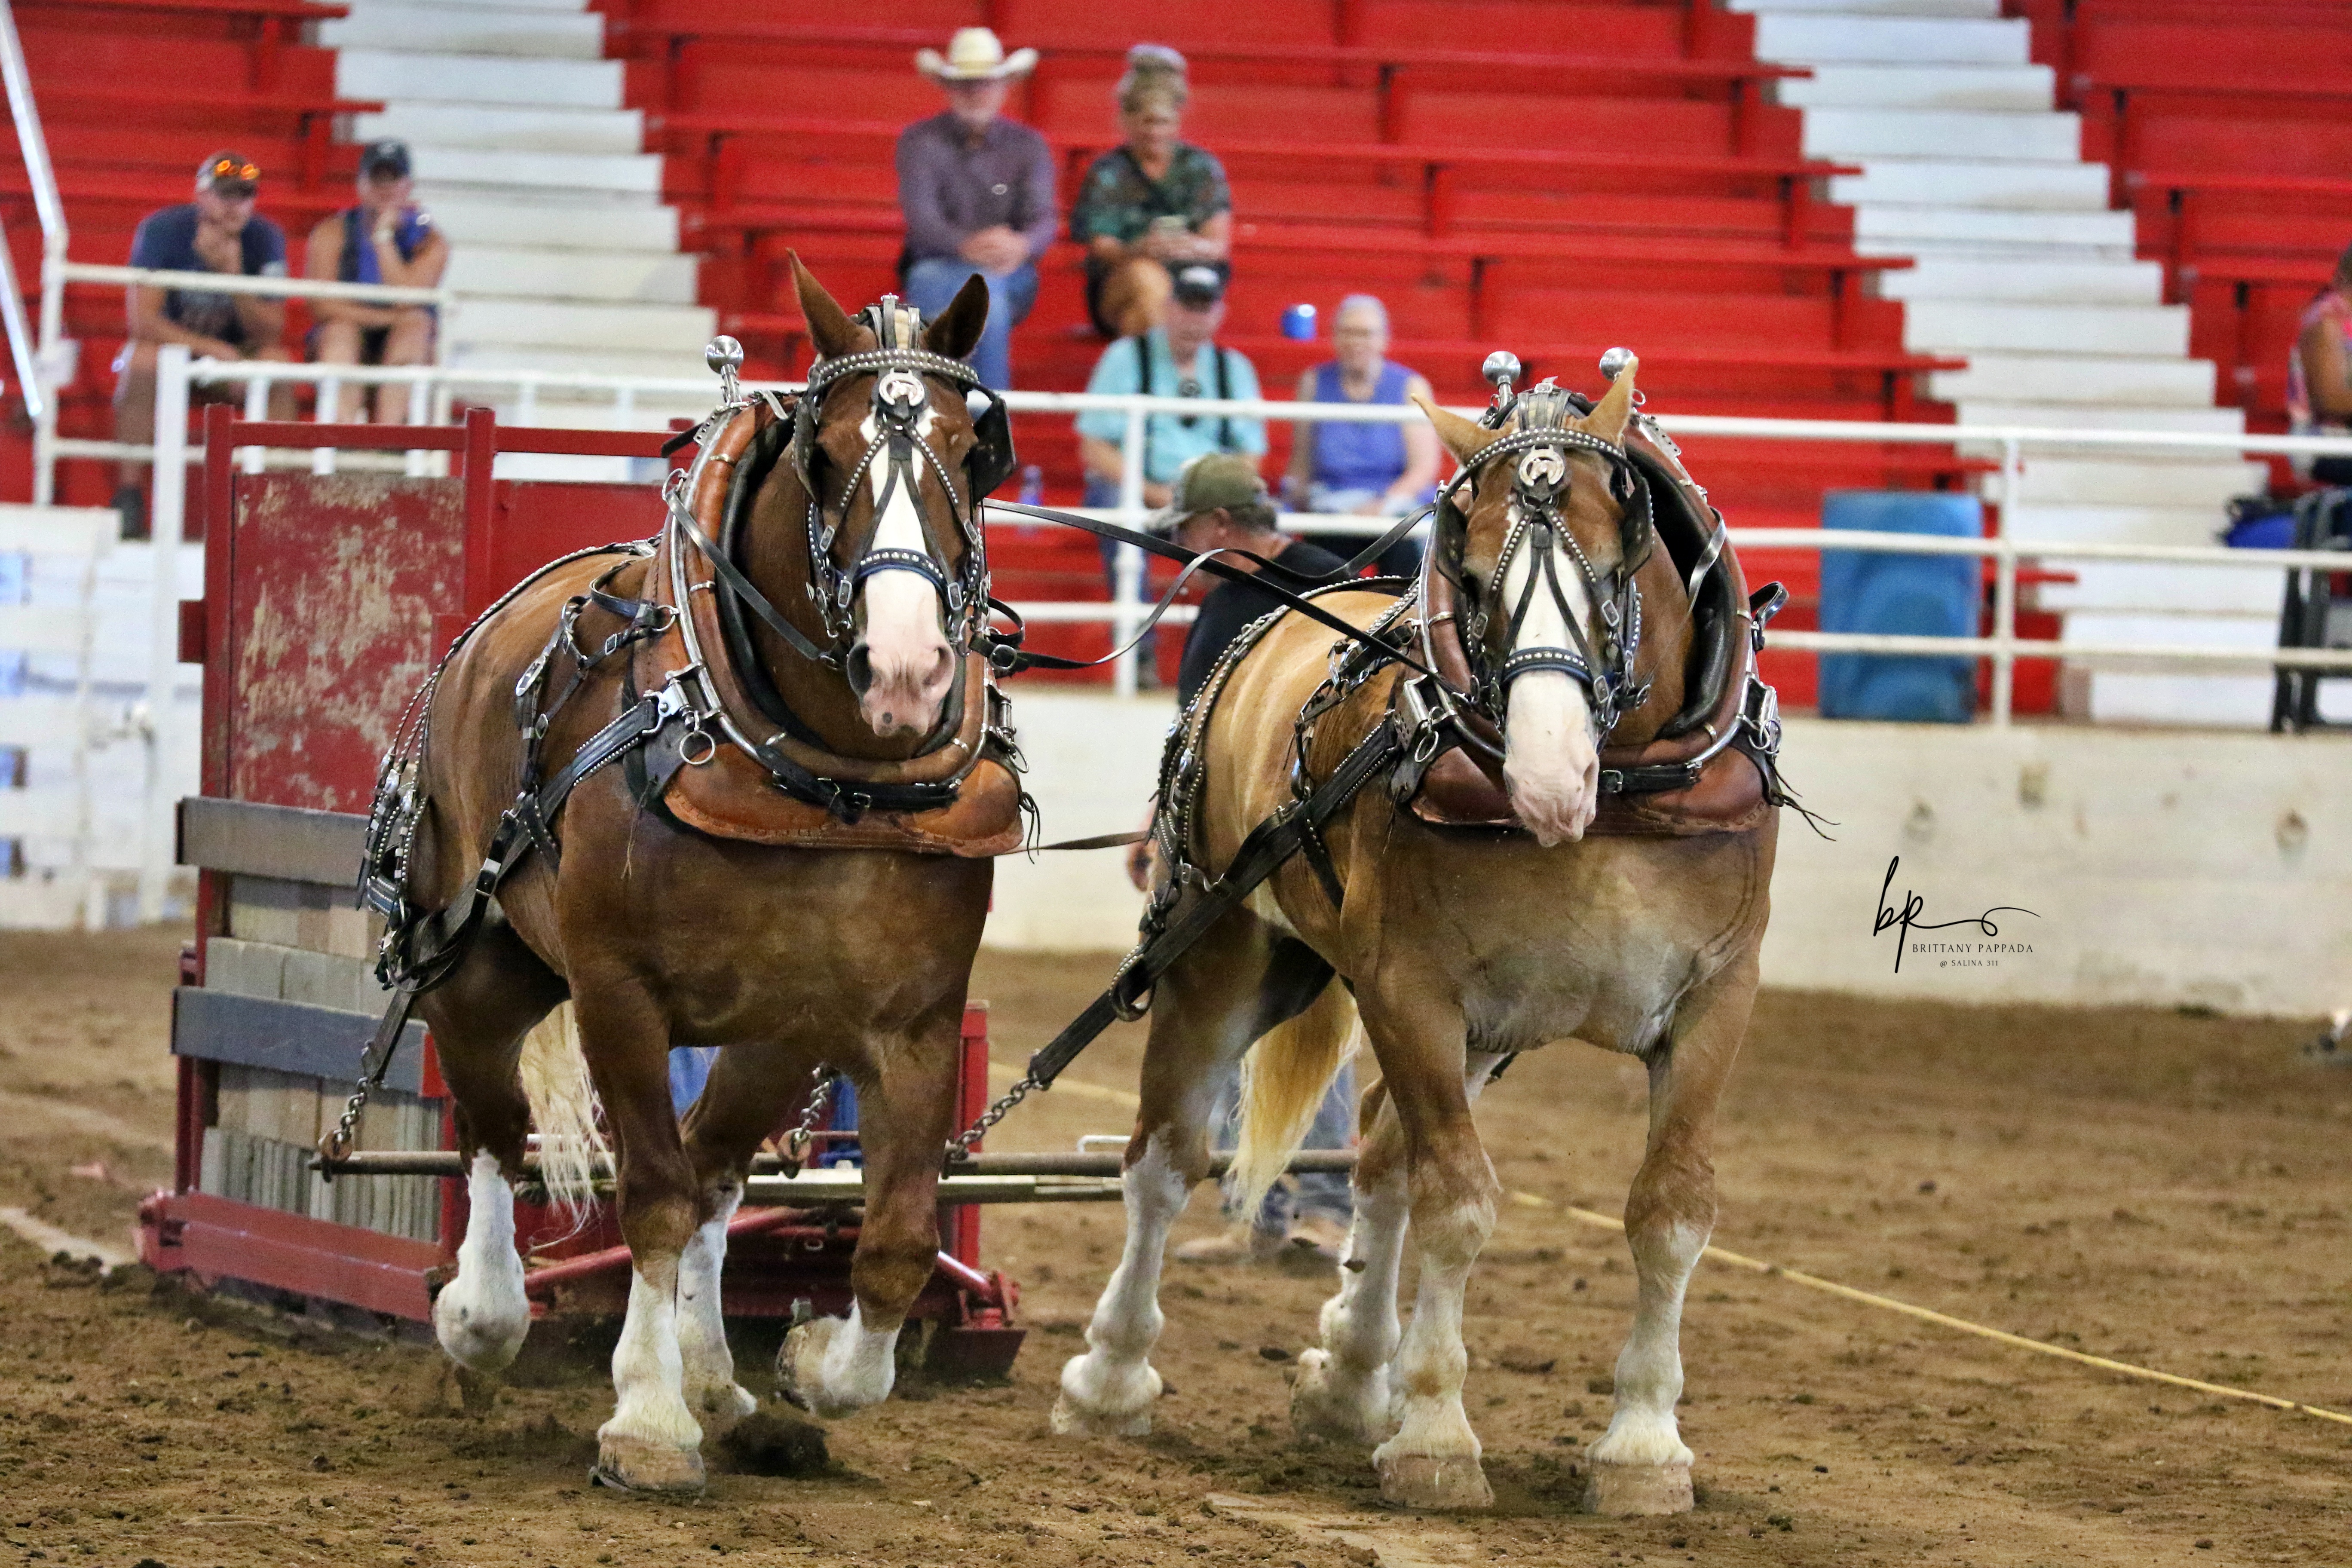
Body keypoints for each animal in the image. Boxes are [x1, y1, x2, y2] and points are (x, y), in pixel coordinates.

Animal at [363, 258, 1023, 1494]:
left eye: (972, 450)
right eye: (826, 454)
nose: (908, 668)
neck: (827, 782)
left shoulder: (905, 1021)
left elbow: (896, 1238)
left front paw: (806, 1365)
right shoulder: (621, 994)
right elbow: (652, 1199)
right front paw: (648, 1422)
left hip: (775, 1031)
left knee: (722, 1168)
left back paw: (722, 1379)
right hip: (477, 960)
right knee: (494, 1127)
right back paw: (483, 1317)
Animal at [1051, 359, 1782, 1514]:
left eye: (1612, 564)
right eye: (1473, 579)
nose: (1546, 777)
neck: (1617, 805)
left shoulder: (1715, 1002)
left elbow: (1668, 1213)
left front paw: (1642, 1446)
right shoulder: (1411, 989)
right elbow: (1457, 1203)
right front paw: (1438, 1433)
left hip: (1477, 1035)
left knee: (1378, 1162)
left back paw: (1353, 1380)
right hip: (1229, 956)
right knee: (1165, 1162)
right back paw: (1111, 1378)